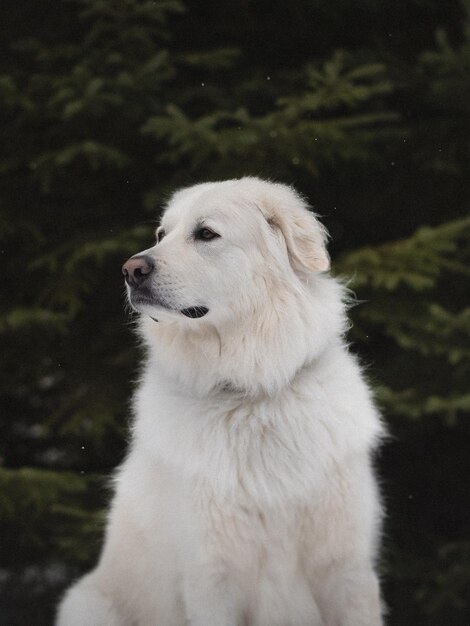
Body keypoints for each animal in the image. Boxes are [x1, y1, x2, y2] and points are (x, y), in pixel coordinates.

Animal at [57, 177, 384, 624]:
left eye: (206, 234)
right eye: (161, 234)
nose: (130, 270)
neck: (250, 394)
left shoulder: (346, 571)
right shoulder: (212, 578)